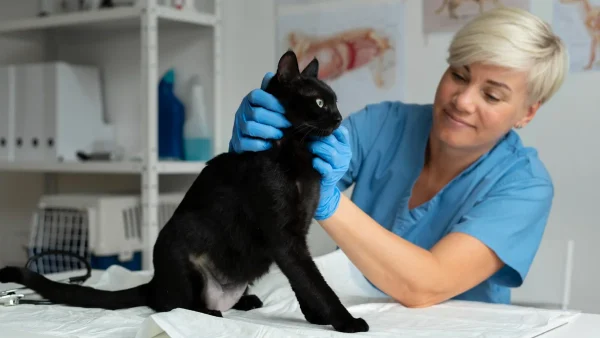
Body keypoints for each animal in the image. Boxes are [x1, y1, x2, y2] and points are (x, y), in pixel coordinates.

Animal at [0, 51, 370, 334]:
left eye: (334, 101)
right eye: (320, 102)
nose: (339, 117)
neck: (297, 155)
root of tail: (155, 281)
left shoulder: (298, 236)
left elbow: (304, 283)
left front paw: (316, 317)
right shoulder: (286, 240)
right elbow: (315, 283)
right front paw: (344, 322)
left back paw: (246, 300)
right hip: (179, 246)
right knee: (171, 305)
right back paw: (210, 311)